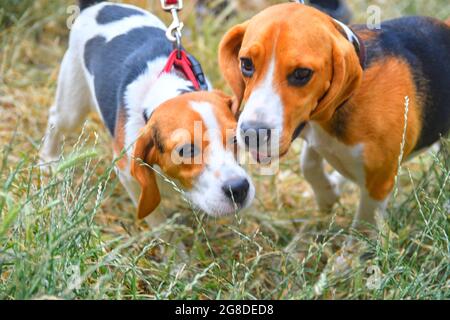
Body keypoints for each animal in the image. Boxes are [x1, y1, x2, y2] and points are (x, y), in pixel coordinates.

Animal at [40, 0, 255, 235]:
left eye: (235, 140)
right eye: (186, 151)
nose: (239, 188)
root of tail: (98, 5)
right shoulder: (128, 174)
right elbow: (155, 216)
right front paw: (167, 239)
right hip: (71, 107)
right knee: (55, 120)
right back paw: (48, 160)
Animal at [219, 3, 450, 231]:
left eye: (302, 73)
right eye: (246, 64)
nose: (251, 134)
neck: (348, 98)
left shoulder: (380, 180)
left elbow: (365, 223)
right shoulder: (314, 134)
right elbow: (309, 165)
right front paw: (327, 195)